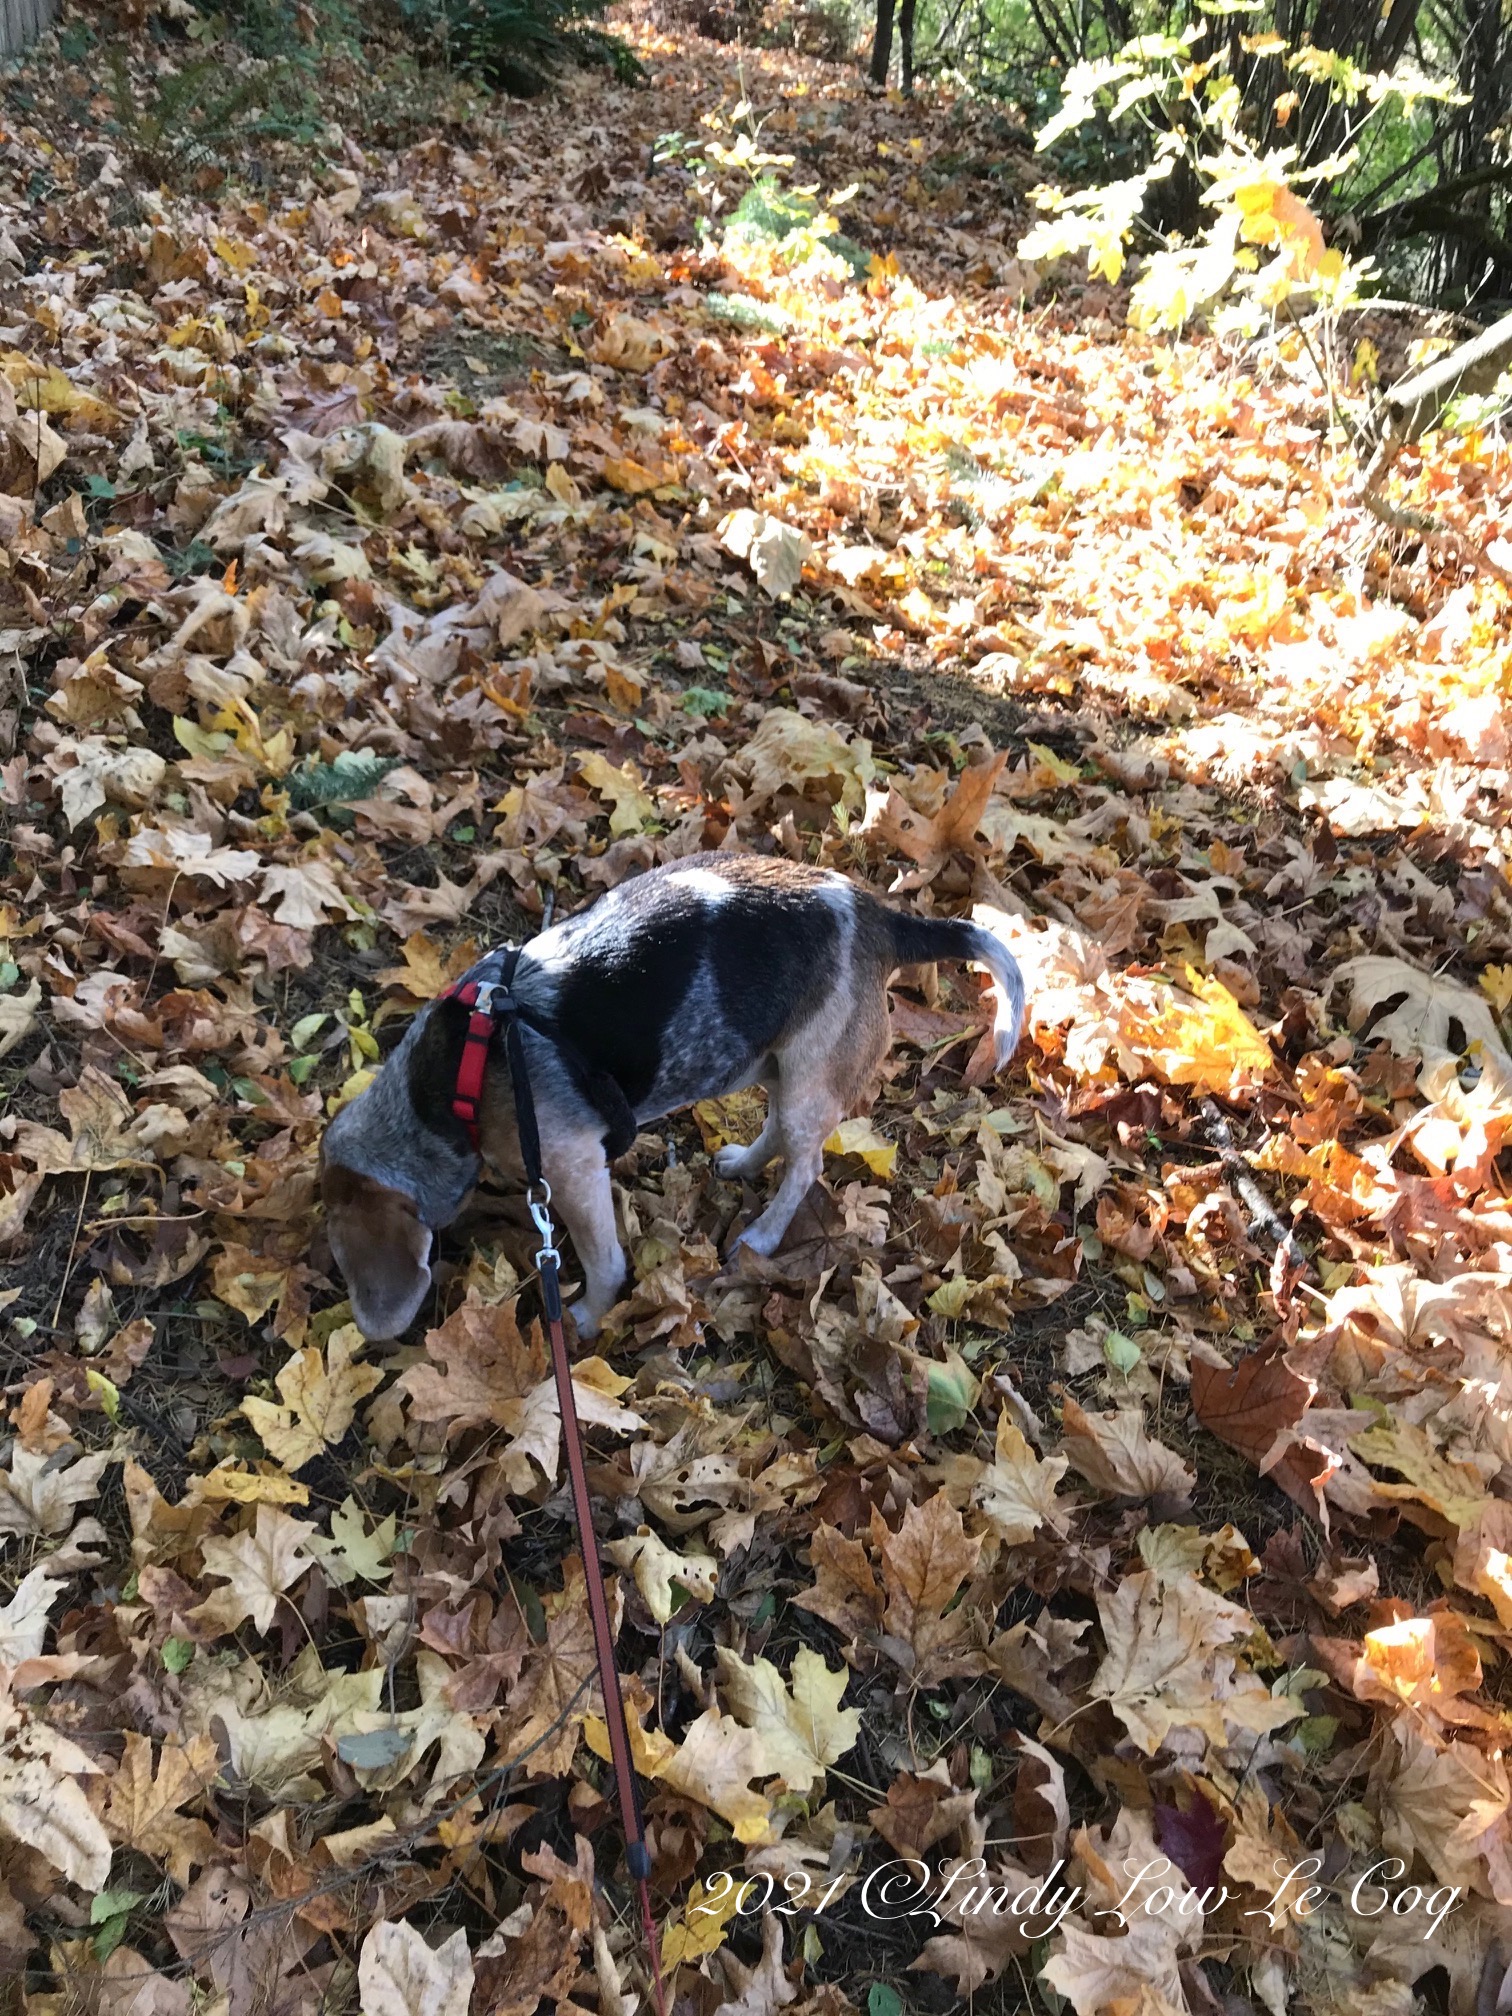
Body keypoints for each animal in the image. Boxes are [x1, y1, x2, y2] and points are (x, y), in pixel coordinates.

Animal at [319, 852, 1025, 1341]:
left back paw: (762, 1237)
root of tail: (880, 915)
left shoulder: (572, 1168)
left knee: (805, 1167)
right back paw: (741, 1164)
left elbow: (602, 1262)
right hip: (768, 1060)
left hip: (809, 1074)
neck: (453, 1074)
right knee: (777, 1133)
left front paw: (586, 1315)